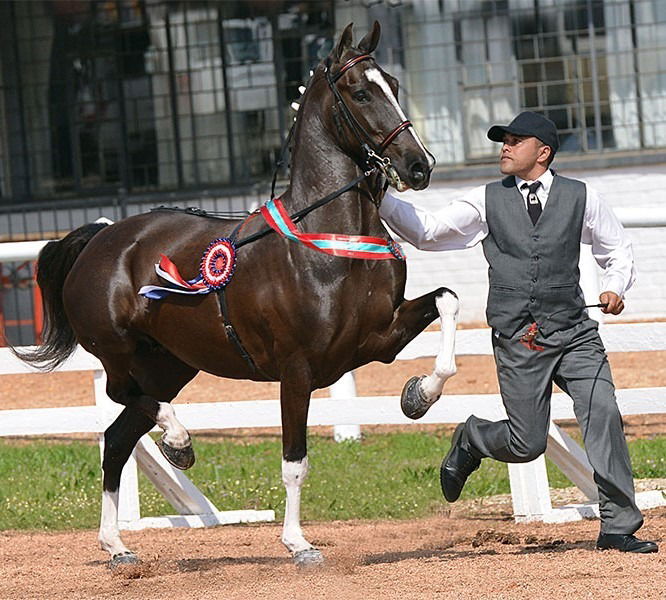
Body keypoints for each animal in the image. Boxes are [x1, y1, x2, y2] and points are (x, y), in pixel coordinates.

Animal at [16, 21, 459, 568]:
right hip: (120, 352)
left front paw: (419, 395)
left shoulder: (379, 339)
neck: (327, 241)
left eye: (394, 85)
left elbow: (447, 300)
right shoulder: (297, 371)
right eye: (361, 92)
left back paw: (117, 544)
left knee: (117, 438)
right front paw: (298, 544)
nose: (419, 167)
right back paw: (178, 442)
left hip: (170, 364)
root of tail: (98, 237)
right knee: (124, 397)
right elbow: (294, 461)